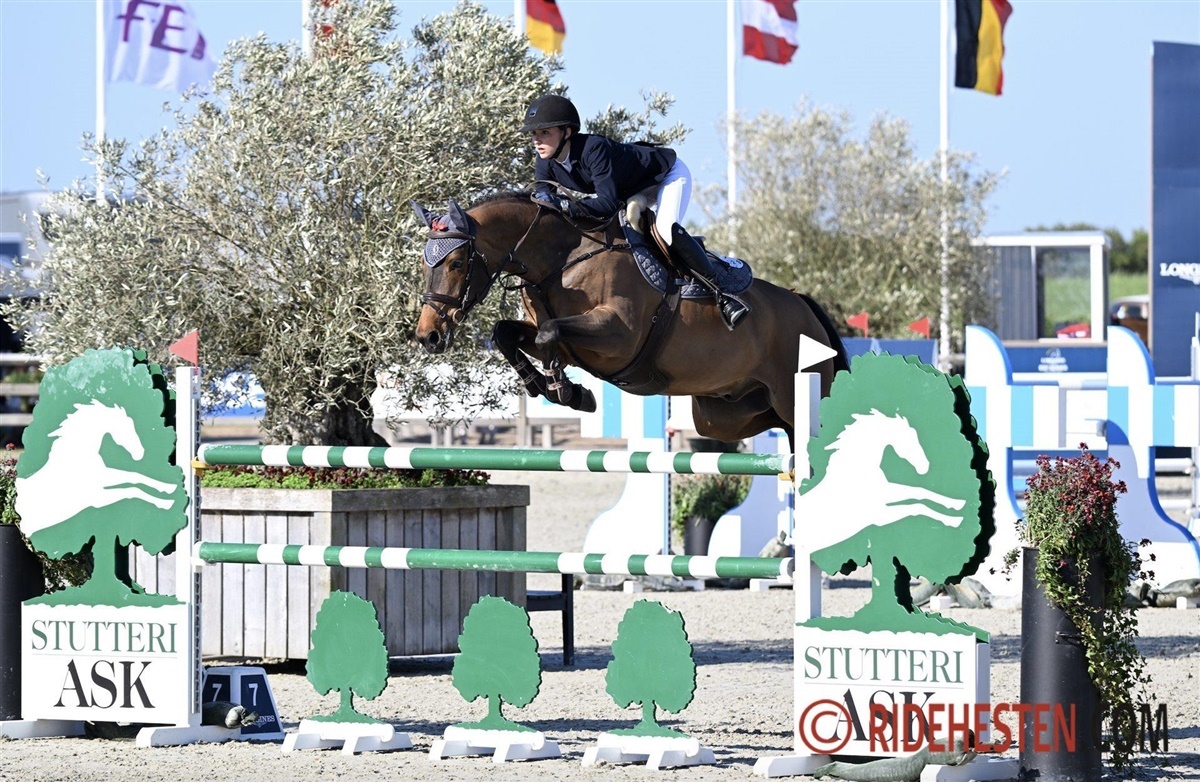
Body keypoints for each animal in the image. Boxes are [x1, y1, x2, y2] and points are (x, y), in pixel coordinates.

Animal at [16, 399, 179, 536]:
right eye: (126, 429)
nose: (140, 453)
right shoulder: (98, 497)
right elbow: (132, 490)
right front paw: (166, 503)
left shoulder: (104, 477)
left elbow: (134, 476)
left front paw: (169, 488)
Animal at [412, 192, 849, 447]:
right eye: (424, 264)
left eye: (455, 262)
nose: (428, 336)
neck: (561, 259)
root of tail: (801, 303)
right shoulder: (561, 335)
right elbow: (508, 333)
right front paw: (551, 387)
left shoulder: (617, 335)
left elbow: (549, 335)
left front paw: (565, 389)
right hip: (721, 415)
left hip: (796, 395)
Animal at [796, 409, 967, 554]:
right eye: (909, 440)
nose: (925, 467)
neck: (856, 474)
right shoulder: (880, 515)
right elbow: (917, 506)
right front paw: (954, 520)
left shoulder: (886, 493)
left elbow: (919, 492)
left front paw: (957, 504)